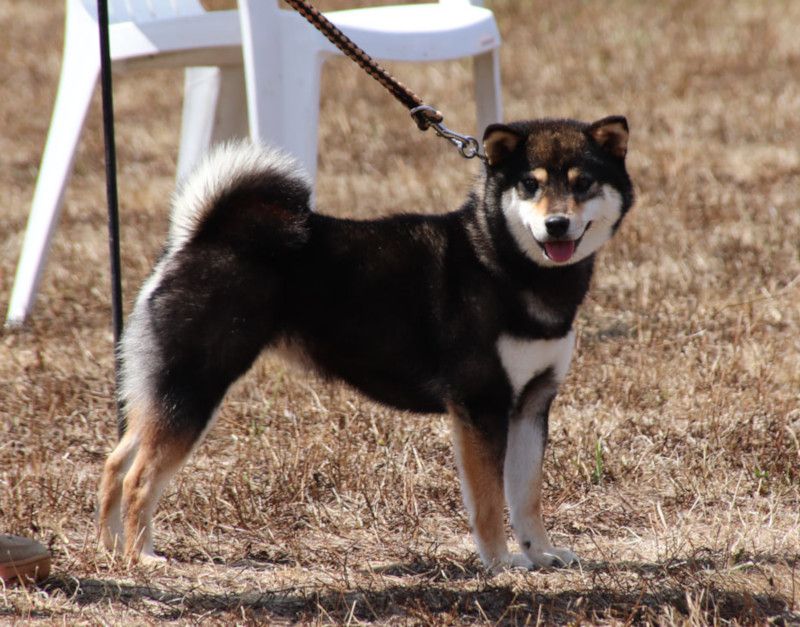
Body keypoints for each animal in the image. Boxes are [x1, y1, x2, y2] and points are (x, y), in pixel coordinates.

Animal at [100, 115, 636, 572]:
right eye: (530, 184)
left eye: (582, 183)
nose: (557, 224)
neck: (503, 262)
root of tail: (199, 237)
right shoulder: (481, 405)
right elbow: (488, 500)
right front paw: (502, 562)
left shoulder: (532, 403)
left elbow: (526, 495)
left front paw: (540, 553)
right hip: (193, 389)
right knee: (139, 477)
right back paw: (140, 555)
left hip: (167, 389)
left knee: (115, 462)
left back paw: (110, 547)